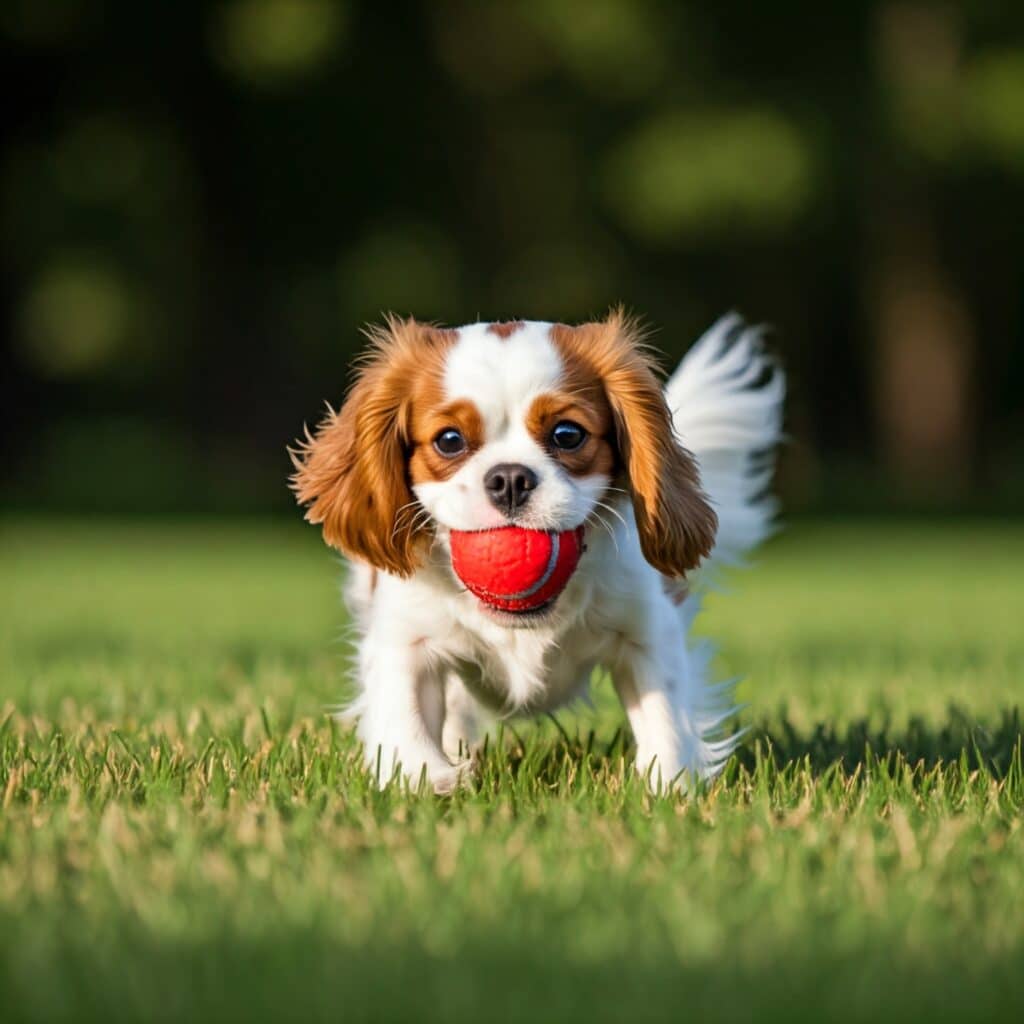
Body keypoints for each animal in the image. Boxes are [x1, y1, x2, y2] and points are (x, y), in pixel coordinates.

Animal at [288, 309, 782, 790]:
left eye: (567, 434)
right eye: (449, 440)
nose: (510, 478)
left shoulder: (648, 628)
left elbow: (666, 717)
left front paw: (666, 788)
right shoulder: (405, 637)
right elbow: (402, 715)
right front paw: (424, 780)